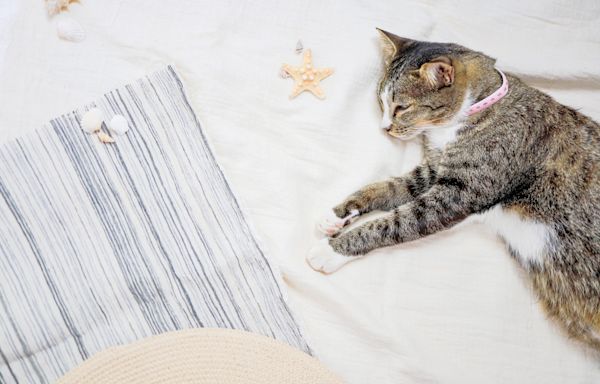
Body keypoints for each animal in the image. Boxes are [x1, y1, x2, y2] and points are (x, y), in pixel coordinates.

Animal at [308, 29, 600, 352]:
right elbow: (387, 187)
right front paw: (337, 214)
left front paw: (332, 250)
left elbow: (392, 223)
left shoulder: (456, 195)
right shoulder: (434, 170)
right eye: (380, 102)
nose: (385, 128)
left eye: (402, 107)